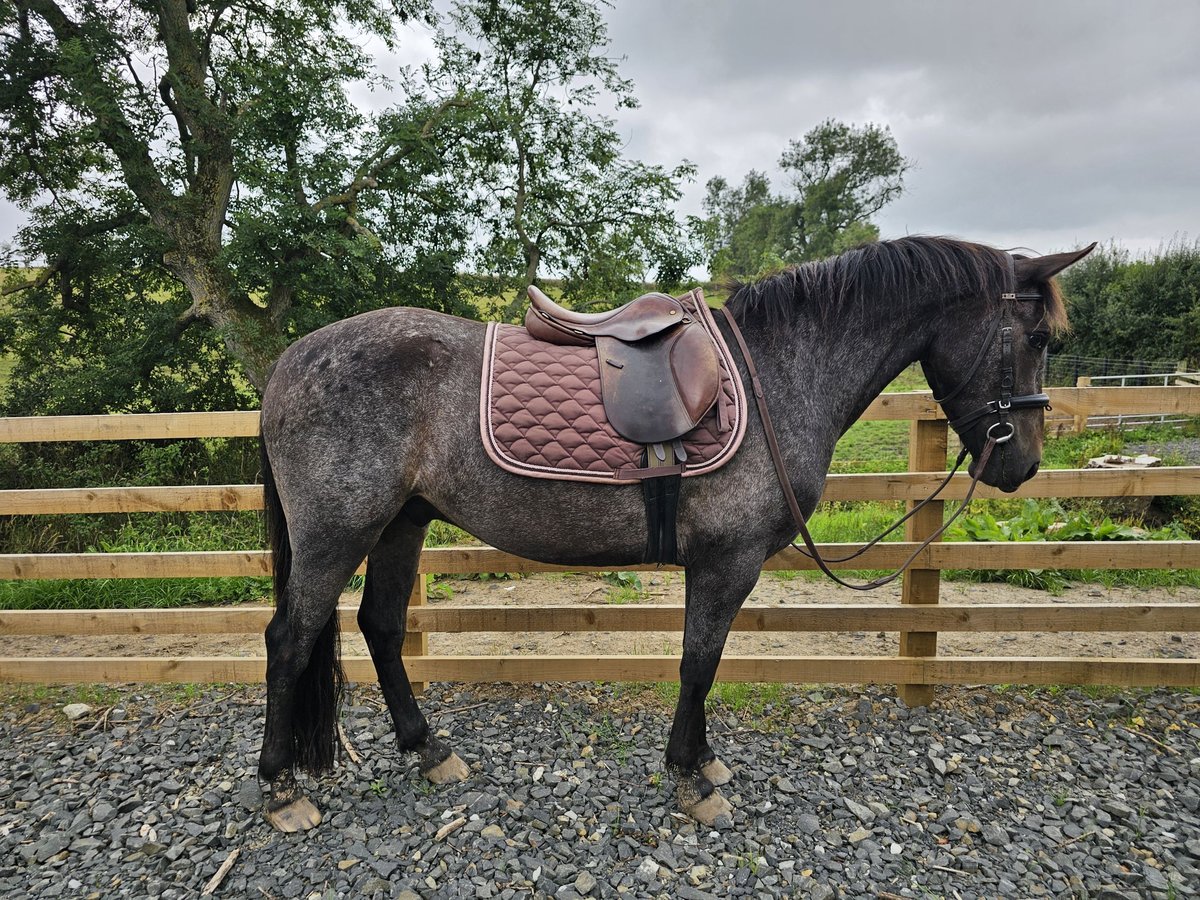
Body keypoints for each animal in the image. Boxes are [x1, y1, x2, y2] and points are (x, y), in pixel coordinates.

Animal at [256, 235, 1094, 831]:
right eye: (1038, 339)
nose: (1022, 464)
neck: (777, 372)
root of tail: (289, 361)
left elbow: (705, 666)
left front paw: (703, 763)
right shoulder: (725, 562)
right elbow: (700, 664)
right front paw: (692, 778)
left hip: (401, 522)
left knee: (380, 626)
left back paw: (427, 750)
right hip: (338, 532)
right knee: (290, 642)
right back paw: (280, 790)